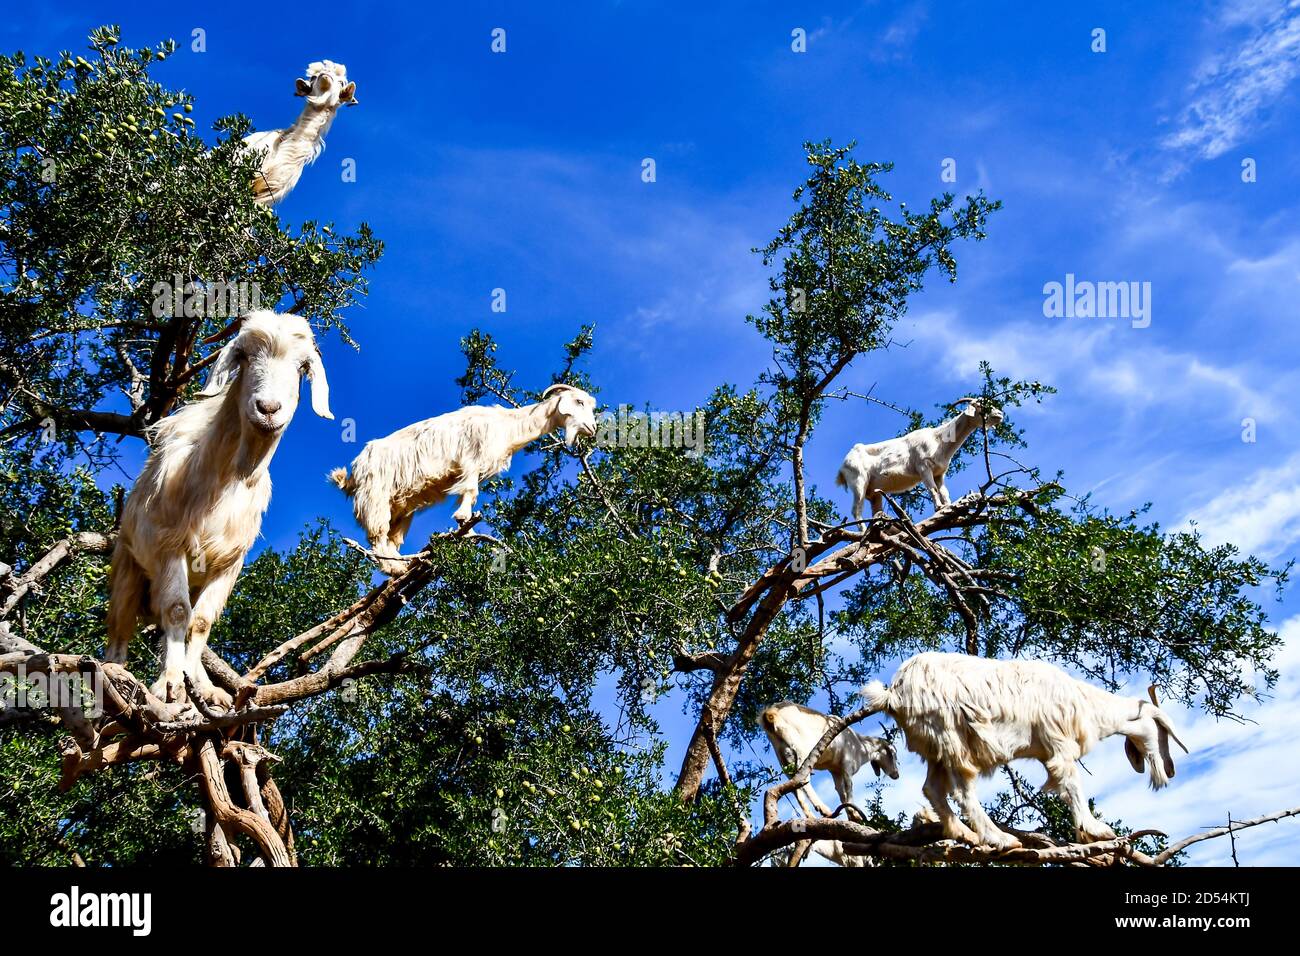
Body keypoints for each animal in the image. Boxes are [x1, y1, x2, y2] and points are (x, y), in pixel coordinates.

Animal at [105, 311, 333, 707]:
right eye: (243, 356)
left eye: (302, 367)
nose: (268, 409)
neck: (228, 479)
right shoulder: (169, 546)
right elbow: (177, 610)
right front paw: (170, 685)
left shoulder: (228, 563)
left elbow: (201, 622)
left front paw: (199, 686)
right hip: (129, 567)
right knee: (119, 630)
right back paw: (118, 674)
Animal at [328, 384, 598, 575]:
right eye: (579, 401)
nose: (593, 429)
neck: (507, 427)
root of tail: (354, 472)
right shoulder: (471, 460)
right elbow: (470, 491)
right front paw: (463, 520)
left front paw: (467, 530)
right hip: (375, 496)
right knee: (377, 536)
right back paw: (394, 568)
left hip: (402, 507)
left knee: (392, 539)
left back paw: (401, 567)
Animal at [760, 700, 899, 820]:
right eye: (893, 754)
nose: (896, 775)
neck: (860, 745)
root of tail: (772, 714)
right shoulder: (847, 764)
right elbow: (849, 786)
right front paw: (855, 814)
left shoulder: (835, 770)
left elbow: (840, 791)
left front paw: (851, 815)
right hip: (801, 751)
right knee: (803, 780)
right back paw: (823, 809)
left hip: (783, 758)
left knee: (795, 789)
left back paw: (811, 816)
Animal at [835, 397, 1003, 521]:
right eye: (981, 406)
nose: (1000, 414)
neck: (939, 439)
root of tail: (842, 467)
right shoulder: (923, 467)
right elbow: (932, 489)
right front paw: (939, 508)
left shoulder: (939, 473)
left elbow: (944, 492)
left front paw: (949, 507)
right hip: (858, 481)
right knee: (856, 511)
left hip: (874, 493)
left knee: (874, 510)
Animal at [862, 652, 1189, 849]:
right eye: (1162, 730)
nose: (1171, 770)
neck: (1086, 704)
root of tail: (895, 693)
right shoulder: (1058, 742)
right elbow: (1072, 784)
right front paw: (1094, 829)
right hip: (951, 735)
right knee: (962, 791)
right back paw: (999, 837)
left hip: (935, 746)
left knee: (932, 788)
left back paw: (964, 833)